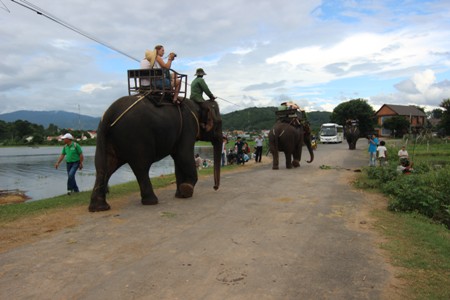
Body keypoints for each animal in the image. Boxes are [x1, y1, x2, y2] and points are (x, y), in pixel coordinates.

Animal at [89, 95, 222, 212]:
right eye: (218, 123)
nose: (215, 187)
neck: (198, 105)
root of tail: (109, 115)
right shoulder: (188, 127)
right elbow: (183, 155)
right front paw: (186, 190)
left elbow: (178, 159)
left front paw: (180, 195)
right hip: (137, 138)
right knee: (141, 167)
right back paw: (151, 201)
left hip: (104, 138)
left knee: (104, 167)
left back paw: (99, 208)